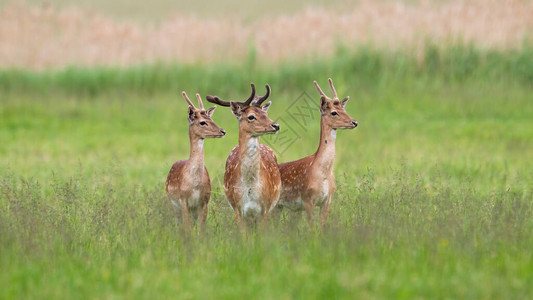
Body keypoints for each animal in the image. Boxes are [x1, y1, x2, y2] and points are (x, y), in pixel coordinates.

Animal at [165, 91, 225, 230]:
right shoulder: (183, 200)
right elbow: (187, 230)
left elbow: (201, 230)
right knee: (179, 226)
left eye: (212, 119)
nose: (223, 131)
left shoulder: (205, 201)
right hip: (173, 203)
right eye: (202, 122)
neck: (195, 184)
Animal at [274, 78, 358, 226]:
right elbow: (312, 228)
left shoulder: (327, 201)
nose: (354, 122)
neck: (322, 171)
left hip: (287, 208)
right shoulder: (308, 199)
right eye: (334, 112)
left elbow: (321, 226)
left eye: (344, 109)